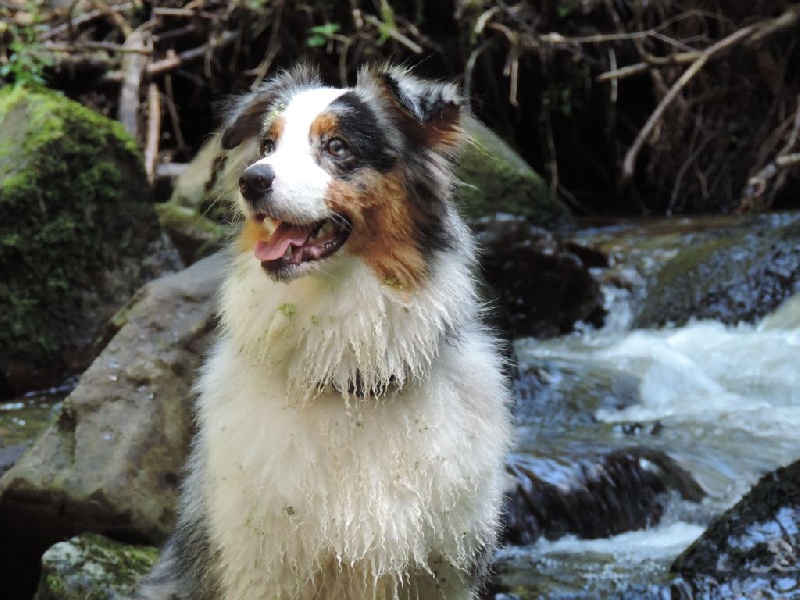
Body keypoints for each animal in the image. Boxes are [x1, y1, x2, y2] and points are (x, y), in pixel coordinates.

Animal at [138, 63, 512, 596]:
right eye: (267, 145)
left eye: (337, 146)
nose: (252, 181)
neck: (347, 379)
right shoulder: (260, 566)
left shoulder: (441, 568)